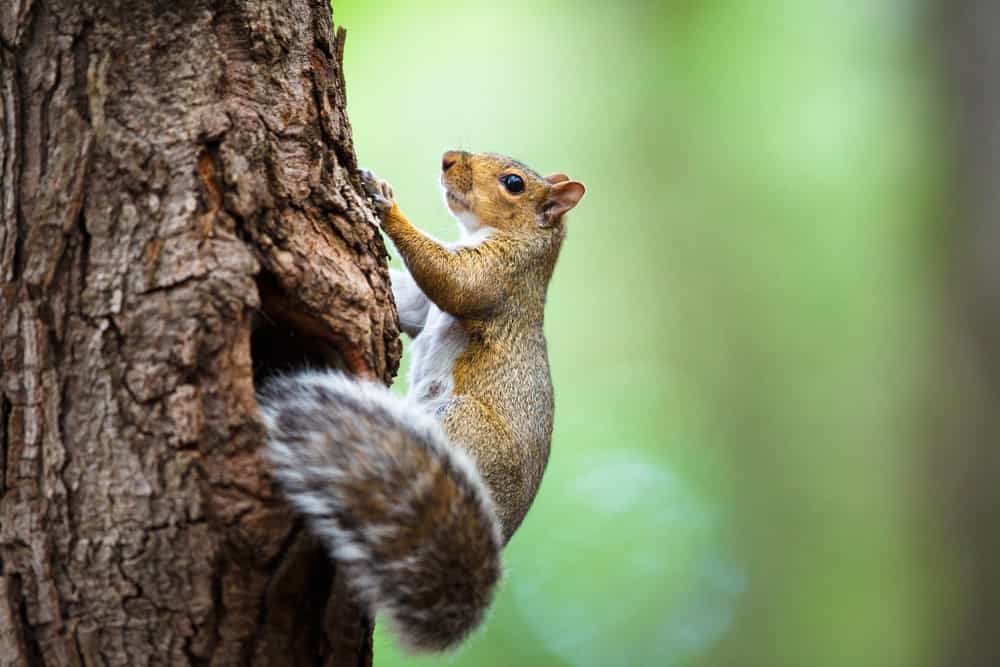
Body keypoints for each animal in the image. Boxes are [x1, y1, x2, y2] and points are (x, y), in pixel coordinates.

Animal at [258, 150, 585, 651]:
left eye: (513, 183)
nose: (449, 158)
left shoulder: (501, 277)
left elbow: (454, 281)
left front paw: (385, 202)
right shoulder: (422, 307)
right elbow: (409, 304)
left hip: (464, 425)